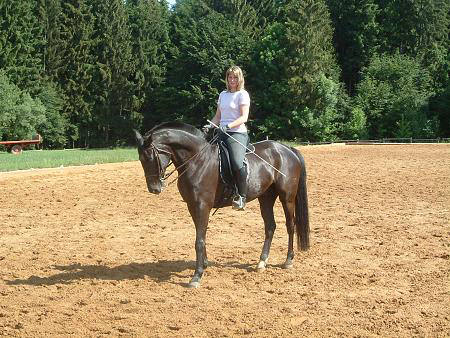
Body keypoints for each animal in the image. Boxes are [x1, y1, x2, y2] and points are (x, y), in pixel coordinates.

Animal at [134, 121, 310, 288]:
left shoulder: (202, 205)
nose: (154, 188)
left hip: (287, 197)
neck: (197, 160)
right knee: (270, 226)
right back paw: (262, 262)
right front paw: (204, 265)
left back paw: (288, 260)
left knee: (290, 225)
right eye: (140, 159)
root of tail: (286, 149)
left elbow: (199, 240)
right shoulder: (193, 206)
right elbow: (201, 235)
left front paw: (196, 276)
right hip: (265, 197)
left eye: (151, 157)